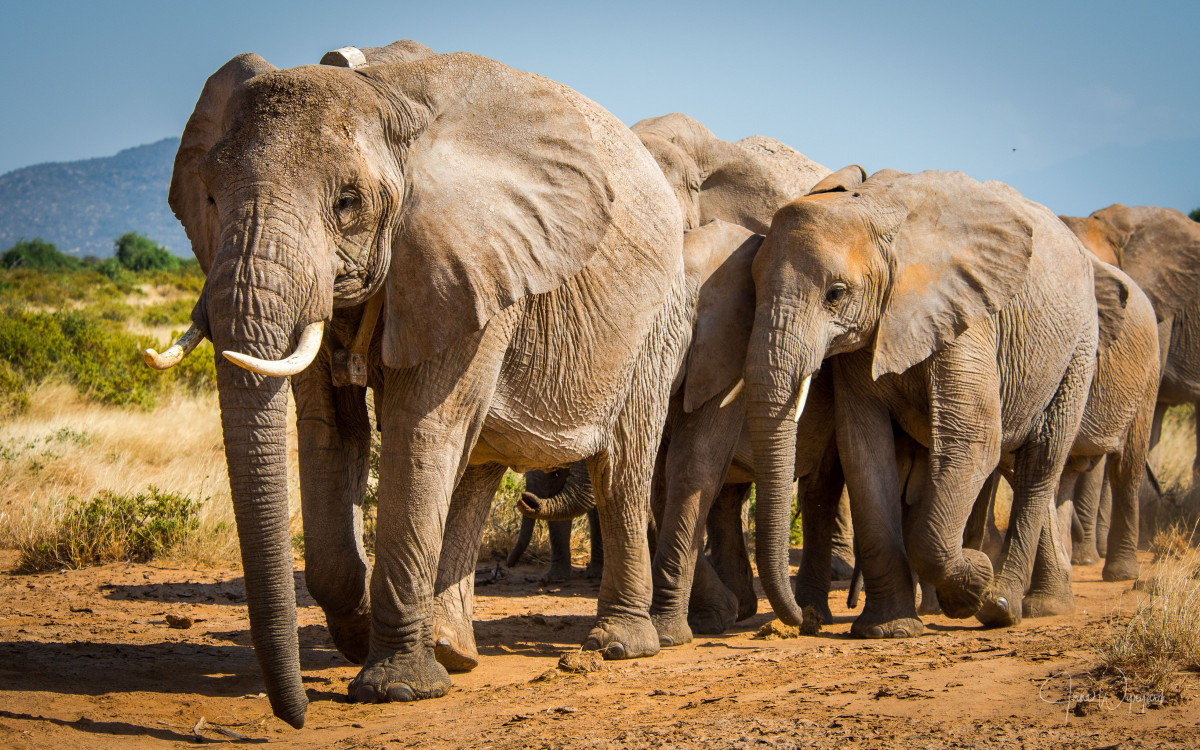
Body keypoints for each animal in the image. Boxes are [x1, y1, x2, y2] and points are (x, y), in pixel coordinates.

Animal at [145, 46, 695, 726]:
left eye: (348, 202)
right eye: (210, 198)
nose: (295, 715)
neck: (382, 97)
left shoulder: (473, 260)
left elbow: (419, 429)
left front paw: (395, 688)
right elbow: (330, 431)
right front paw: (359, 637)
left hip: (658, 320)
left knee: (620, 466)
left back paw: (618, 646)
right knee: (479, 463)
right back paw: (452, 650)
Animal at [746, 166, 1102, 638]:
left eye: (836, 294)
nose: (805, 622)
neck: (874, 211)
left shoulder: (966, 316)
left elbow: (973, 438)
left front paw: (973, 582)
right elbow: (864, 451)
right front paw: (889, 629)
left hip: (1079, 346)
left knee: (1039, 462)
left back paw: (1001, 607)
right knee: (1011, 460)